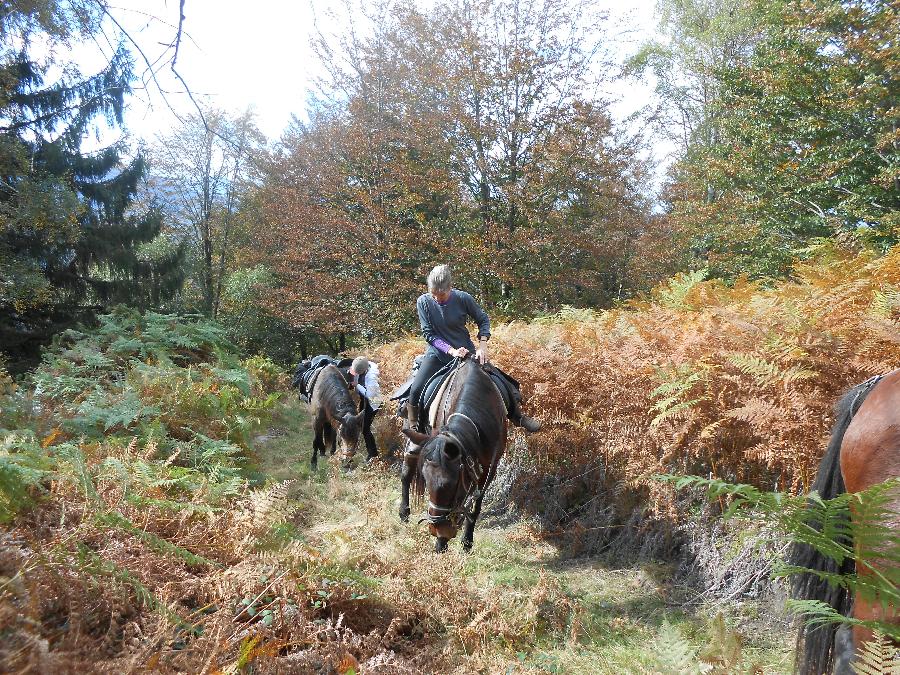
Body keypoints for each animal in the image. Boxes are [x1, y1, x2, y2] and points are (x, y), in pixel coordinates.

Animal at [400, 356, 506, 552]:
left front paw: (467, 542)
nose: (436, 529)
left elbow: (475, 504)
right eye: (427, 481)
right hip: (414, 435)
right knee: (406, 473)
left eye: (452, 485)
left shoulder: (490, 466)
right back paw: (404, 512)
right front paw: (441, 544)